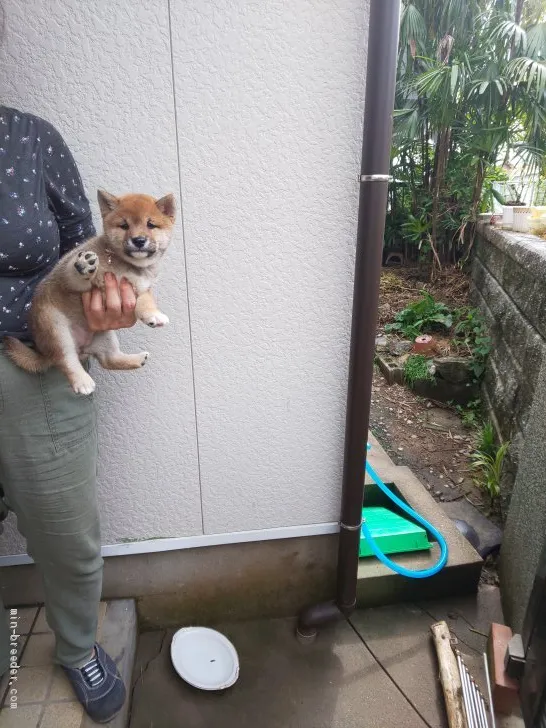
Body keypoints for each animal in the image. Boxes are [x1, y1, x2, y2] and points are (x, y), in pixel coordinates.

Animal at [4, 188, 174, 392]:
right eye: (124, 225)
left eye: (151, 224)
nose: (139, 240)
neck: (123, 263)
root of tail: (82, 348)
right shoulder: (73, 280)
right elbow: (73, 273)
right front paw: (83, 265)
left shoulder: (140, 288)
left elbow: (146, 302)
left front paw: (153, 315)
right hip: (56, 331)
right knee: (65, 361)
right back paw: (82, 381)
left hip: (105, 336)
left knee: (109, 360)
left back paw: (136, 359)